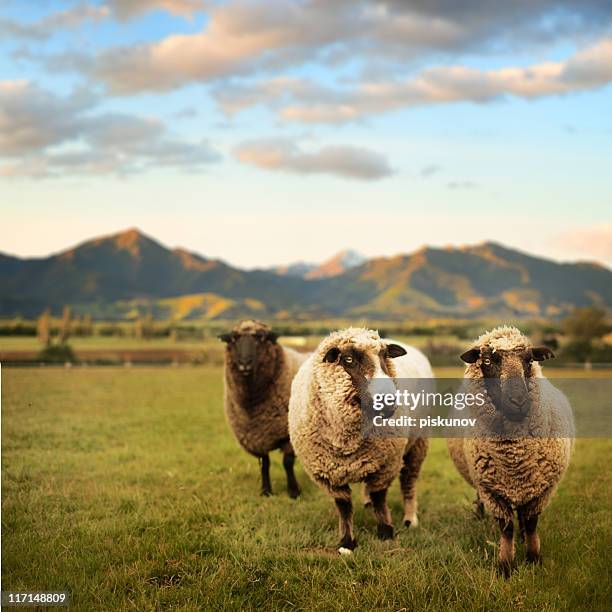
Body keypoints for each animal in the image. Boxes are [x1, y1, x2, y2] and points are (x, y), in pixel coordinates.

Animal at [219, 320, 308, 498]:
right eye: (234, 339)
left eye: (261, 338)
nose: (244, 364)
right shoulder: (257, 437)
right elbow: (264, 464)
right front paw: (266, 490)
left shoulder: (288, 435)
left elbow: (287, 463)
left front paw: (293, 491)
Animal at [290, 330, 432, 556]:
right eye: (348, 359)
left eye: (385, 356)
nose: (388, 402)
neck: (347, 441)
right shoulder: (329, 473)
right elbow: (344, 506)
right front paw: (347, 542)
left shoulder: (386, 464)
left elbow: (379, 497)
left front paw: (385, 532)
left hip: (418, 443)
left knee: (409, 481)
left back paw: (410, 519)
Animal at [444, 328, 572, 576]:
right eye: (486, 361)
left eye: (529, 360)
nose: (518, 401)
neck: (514, 458)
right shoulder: (491, 490)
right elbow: (506, 528)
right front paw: (505, 566)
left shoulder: (542, 489)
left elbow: (530, 523)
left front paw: (533, 558)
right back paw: (478, 515)